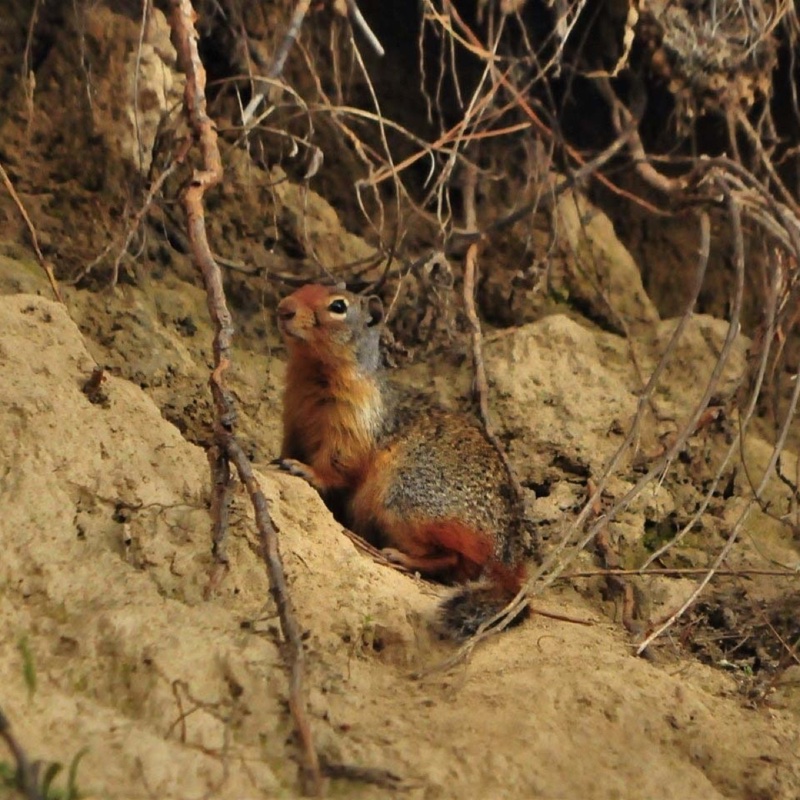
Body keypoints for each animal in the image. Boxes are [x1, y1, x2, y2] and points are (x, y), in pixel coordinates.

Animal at [276, 283, 528, 638]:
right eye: (303, 286)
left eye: (338, 306)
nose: (283, 308)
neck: (312, 373)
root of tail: (509, 562)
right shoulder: (293, 419)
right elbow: (290, 444)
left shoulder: (353, 424)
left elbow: (338, 462)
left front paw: (305, 469)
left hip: (402, 502)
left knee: (451, 559)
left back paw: (402, 557)